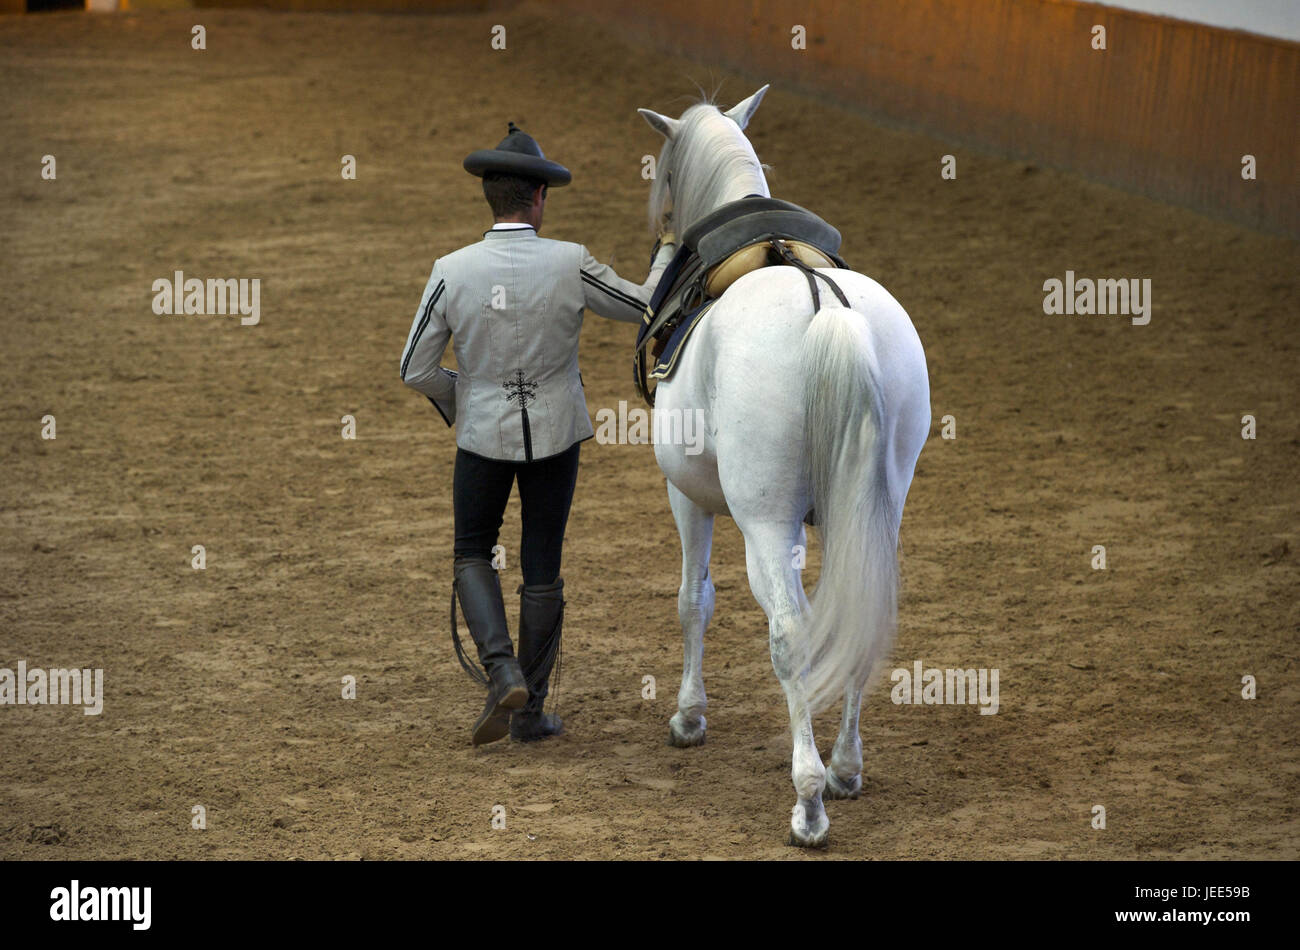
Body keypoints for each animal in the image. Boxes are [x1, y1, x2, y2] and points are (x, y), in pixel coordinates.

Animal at [634, 89, 930, 847]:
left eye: (666, 178)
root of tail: (828, 311)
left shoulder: (687, 496)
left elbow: (694, 599)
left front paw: (689, 716)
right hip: (875, 510)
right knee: (859, 622)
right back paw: (846, 770)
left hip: (766, 524)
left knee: (791, 636)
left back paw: (809, 800)